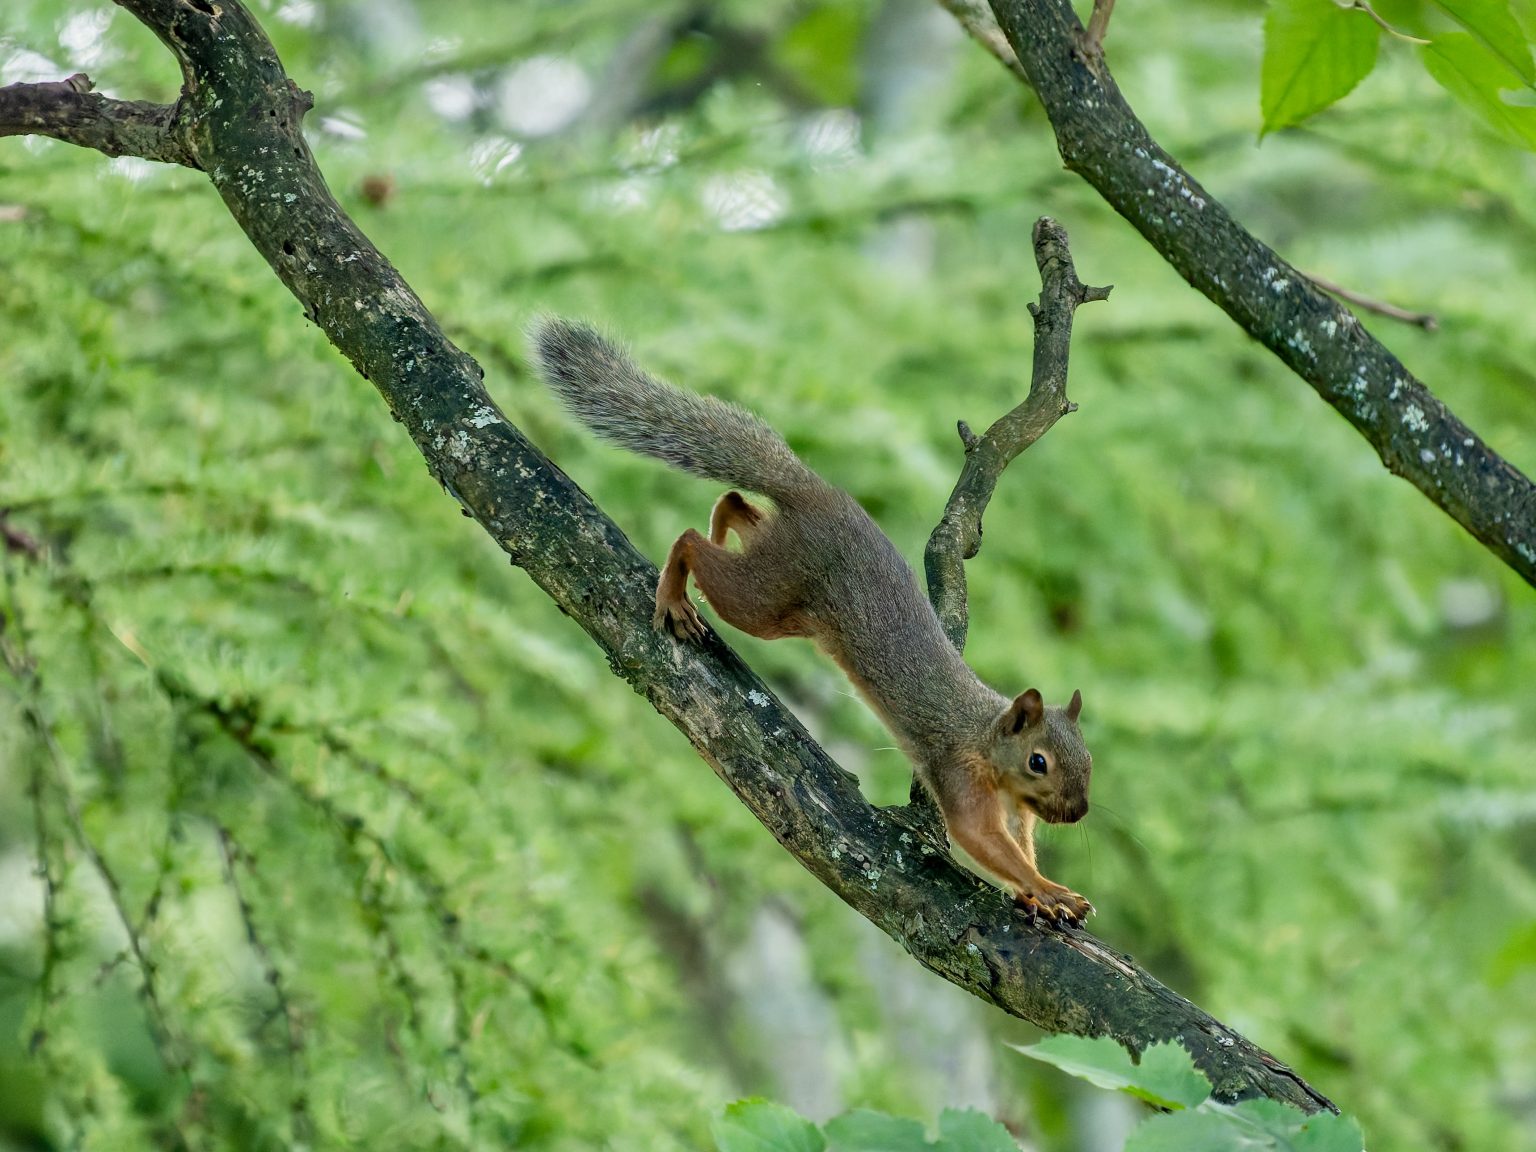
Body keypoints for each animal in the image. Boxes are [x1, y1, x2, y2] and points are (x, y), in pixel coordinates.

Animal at [537, 317, 1093, 927]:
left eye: (1087, 760)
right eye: (1038, 762)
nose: (1078, 812)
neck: (986, 738)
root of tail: (816, 491)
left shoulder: (1017, 812)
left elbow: (1020, 846)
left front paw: (1037, 892)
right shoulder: (959, 774)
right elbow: (982, 840)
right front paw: (1050, 888)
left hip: (776, 569)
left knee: (734, 503)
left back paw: (719, 525)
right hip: (766, 600)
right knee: (690, 543)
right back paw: (675, 592)